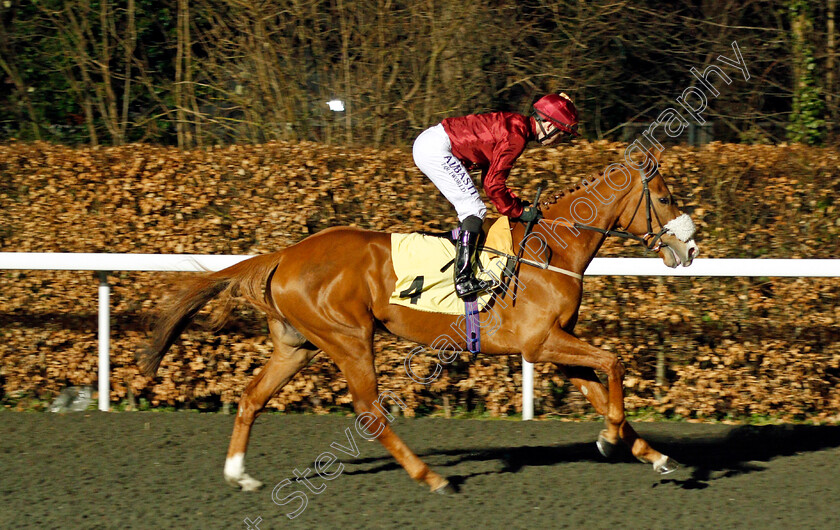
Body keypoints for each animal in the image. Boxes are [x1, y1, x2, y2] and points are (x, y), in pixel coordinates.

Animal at [139, 155, 696, 492]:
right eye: (667, 197)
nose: (689, 249)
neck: (550, 250)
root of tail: (284, 254)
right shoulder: (541, 344)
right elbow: (615, 364)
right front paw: (610, 438)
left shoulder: (554, 345)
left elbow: (601, 387)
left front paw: (651, 454)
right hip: (349, 338)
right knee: (369, 413)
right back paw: (431, 476)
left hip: (297, 344)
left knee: (252, 397)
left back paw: (240, 475)